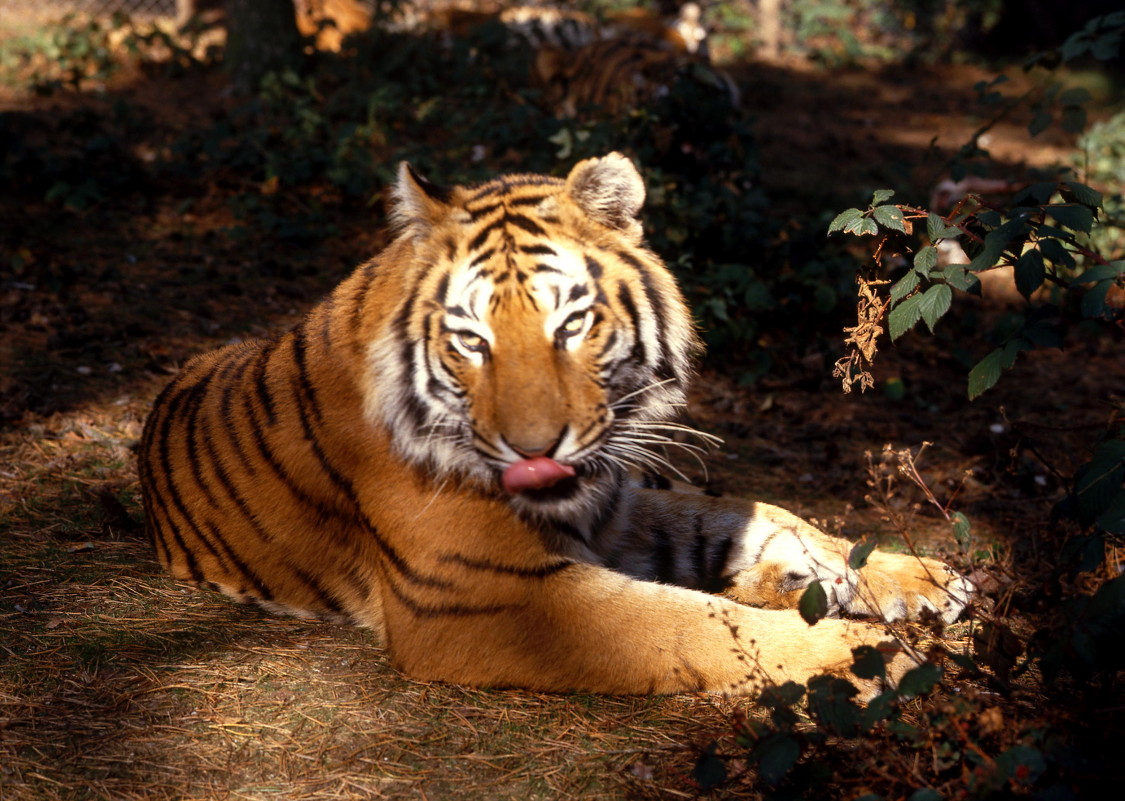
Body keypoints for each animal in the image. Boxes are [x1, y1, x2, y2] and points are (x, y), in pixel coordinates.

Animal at [136, 155, 972, 693]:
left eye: (571, 323)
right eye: (470, 338)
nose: (534, 449)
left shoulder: (622, 503)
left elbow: (770, 515)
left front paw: (927, 578)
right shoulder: (493, 598)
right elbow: (696, 625)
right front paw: (876, 654)